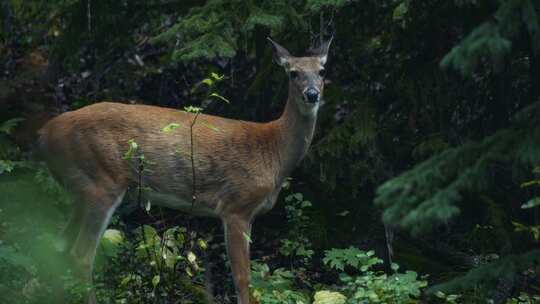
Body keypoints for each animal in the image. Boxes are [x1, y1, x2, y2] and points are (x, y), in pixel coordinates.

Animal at [38, 36, 332, 302]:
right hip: (101, 181)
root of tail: (46, 133)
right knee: (80, 255)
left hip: (80, 188)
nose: (312, 94)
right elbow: (242, 278)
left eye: (321, 71)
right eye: (293, 73)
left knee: (56, 247)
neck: (274, 151)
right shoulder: (236, 206)